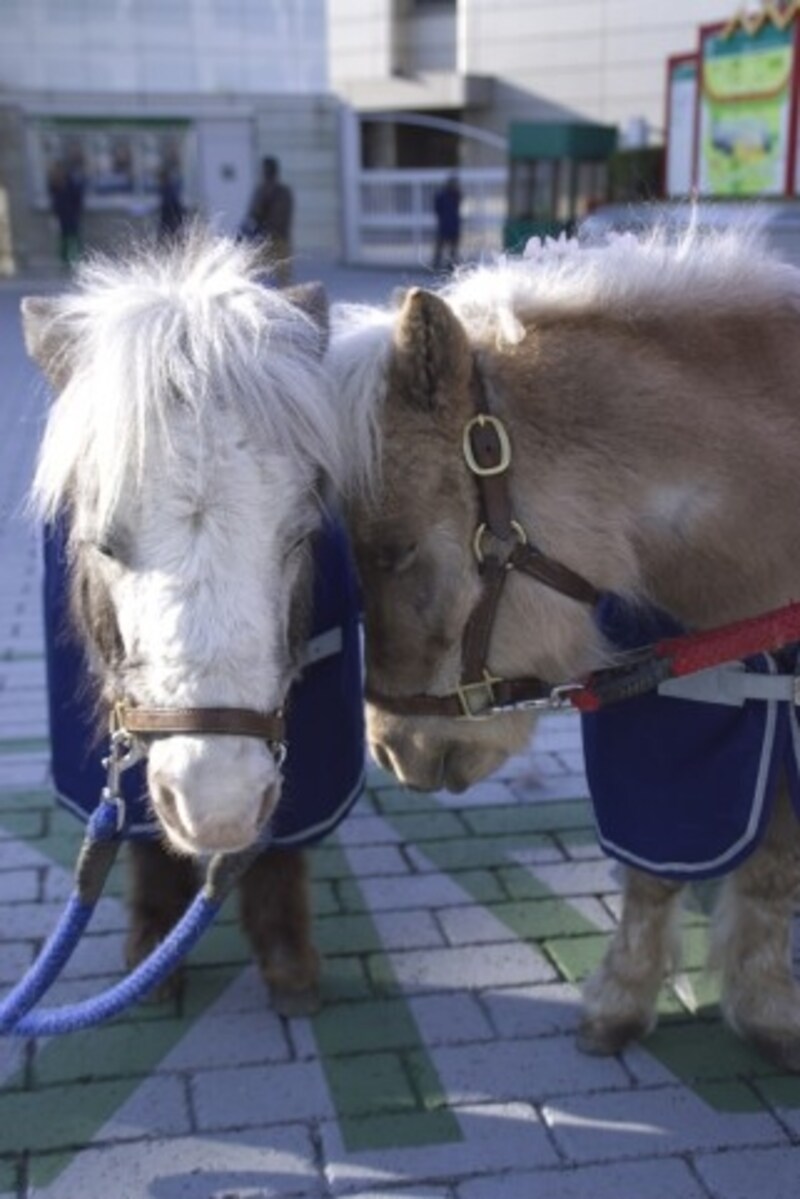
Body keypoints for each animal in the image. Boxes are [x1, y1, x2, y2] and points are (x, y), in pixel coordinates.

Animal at [23, 230, 359, 1014]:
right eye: (102, 542)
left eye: (299, 535)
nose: (219, 803)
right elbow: (144, 845)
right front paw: (152, 948)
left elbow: (281, 851)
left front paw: (287, 959)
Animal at [328, 221, 800, 1070]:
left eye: (395, 549)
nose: (393, 749)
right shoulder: (675, 731)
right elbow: (654, 872)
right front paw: (623, 999)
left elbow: (776, 868)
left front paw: (767, 1007)